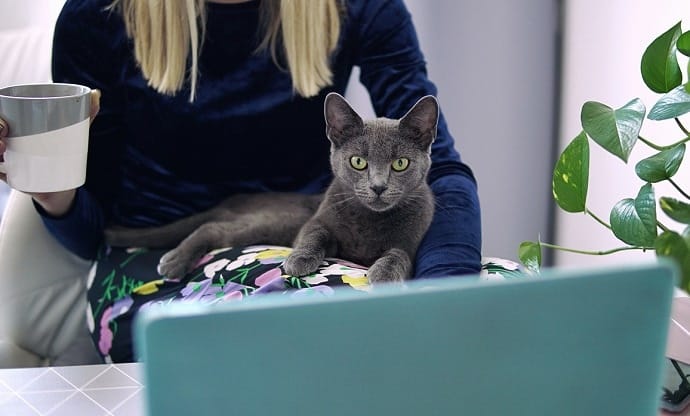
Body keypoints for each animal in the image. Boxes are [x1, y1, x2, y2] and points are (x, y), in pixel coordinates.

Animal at [102, 93, 436, 282]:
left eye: (400, 164)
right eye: (358, 162)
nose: (378, 187)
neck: (368, 221)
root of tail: (234, 201)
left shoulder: (411, 242)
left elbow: (400, 256)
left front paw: (384, 272)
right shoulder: (316, 221)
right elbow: (314, 234)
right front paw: (300, 259)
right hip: (277, 222)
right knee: (213, 228)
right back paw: (174, 260)